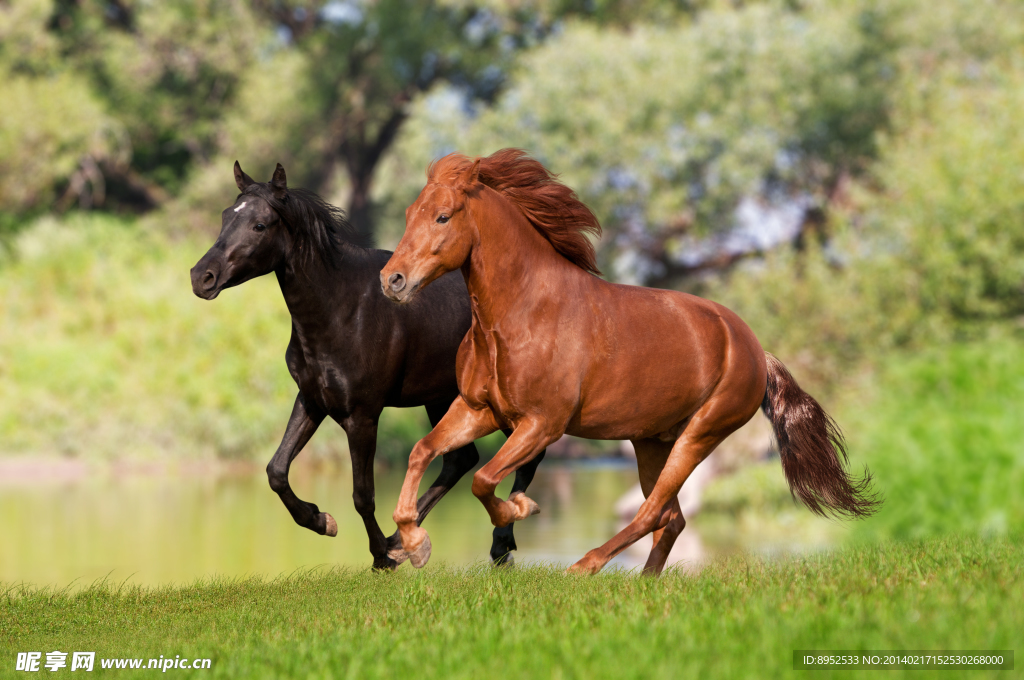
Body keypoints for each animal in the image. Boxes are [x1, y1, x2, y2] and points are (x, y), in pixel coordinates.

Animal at [189, 161, 545, 570]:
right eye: (225, 216)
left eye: (260, 224)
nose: (201, 277)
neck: (342, 310)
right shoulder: (312, 400)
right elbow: (276, 471)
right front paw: (323, 520)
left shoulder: (362, 415)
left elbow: (363, 493)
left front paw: (380, 557)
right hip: (442, 398)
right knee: (462, 459)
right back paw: (406, 542)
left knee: (526, 455)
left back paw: (497, 543)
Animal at [379, 148, 879, 575]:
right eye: (407, 214)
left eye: (443, 216)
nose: (392, 280)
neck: (521, 315)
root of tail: (755, 348)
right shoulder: (478, 410)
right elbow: (422, 451)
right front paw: (413, 544)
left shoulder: (542, 423)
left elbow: (483, 480)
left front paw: (520, 508)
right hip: (651, 442)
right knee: (671, 518)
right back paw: (644, 581)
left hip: (699, 435)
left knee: (652, 511)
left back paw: (584, 567)